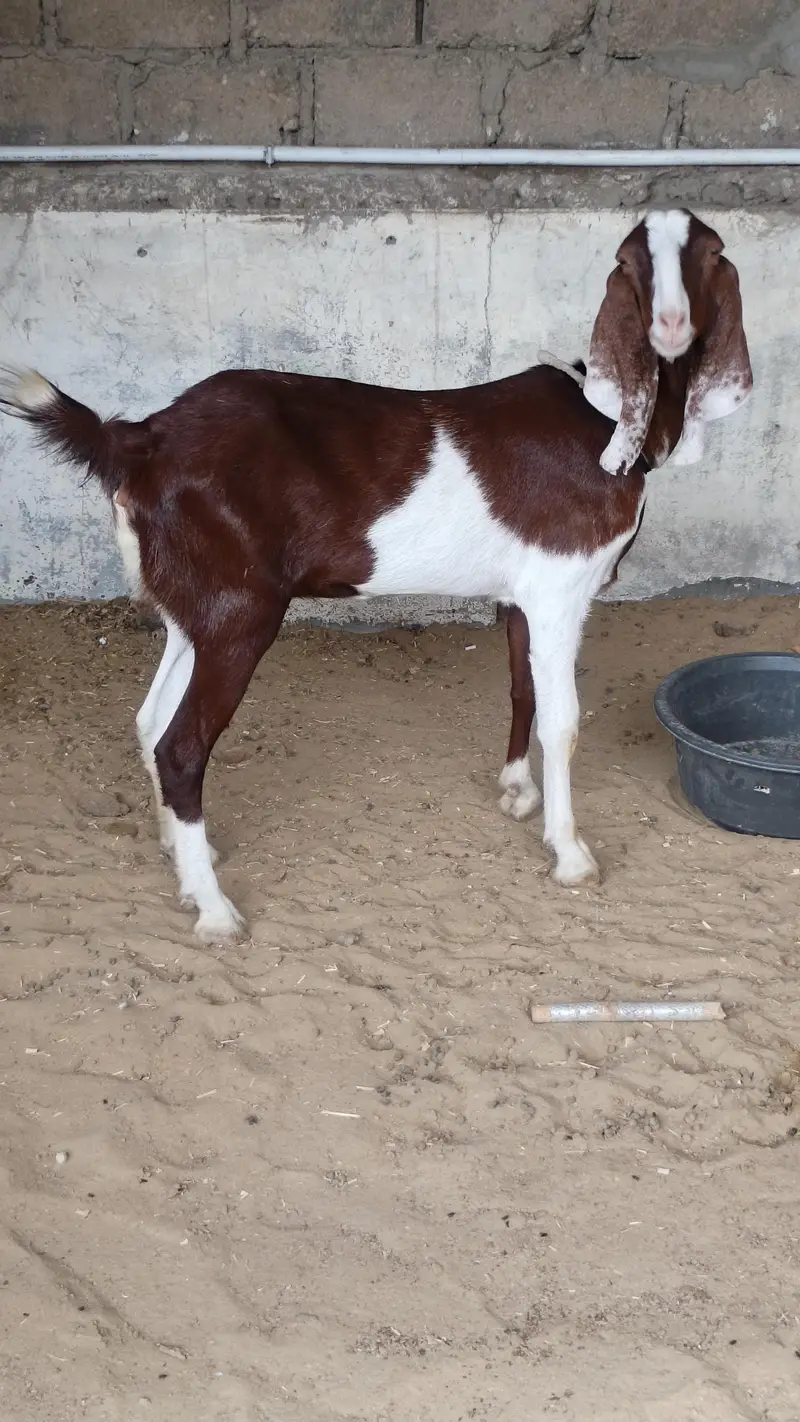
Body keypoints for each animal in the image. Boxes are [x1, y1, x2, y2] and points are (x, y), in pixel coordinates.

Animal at [0, 208, 752, 942]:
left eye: (711, 253)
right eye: (631, 262)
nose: (672, 325)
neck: (606, 421)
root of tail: (140, 438)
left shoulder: (519, 593)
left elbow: (521, 690)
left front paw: (516, 791)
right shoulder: (560, 589)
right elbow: (562, 720)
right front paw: (569, 853)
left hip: (197, 603)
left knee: (150, 722)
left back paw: (185, 861)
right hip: (241, 607)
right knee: (181, 747)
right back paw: (215, 911)